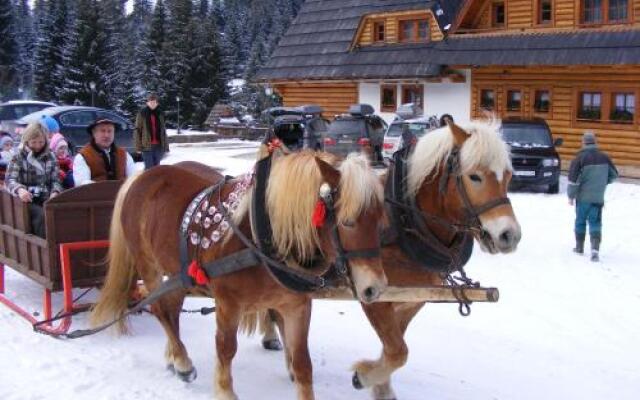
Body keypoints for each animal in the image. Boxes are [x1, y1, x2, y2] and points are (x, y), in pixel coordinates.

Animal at [90, 150, 388, 400]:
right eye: (347, 222)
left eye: (379, 220)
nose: (375, 288)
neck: (262, 235)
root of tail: (141, 177)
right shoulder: (228, 304)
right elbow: (225, 348)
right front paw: (224, 391)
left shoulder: (296, 305)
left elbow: (303, 362)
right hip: (148, 265)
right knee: (161, 310)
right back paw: (182, 362)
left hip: (179, 274)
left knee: (171, 309)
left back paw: (173, 356)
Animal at [352, 119, 524, 400]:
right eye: (474, 176)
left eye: (508, 176)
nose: (509, 235)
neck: (400, 222)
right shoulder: (374, 297)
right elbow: (398, 351)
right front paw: (365, 376)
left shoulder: (412, 298)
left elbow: (394, 347)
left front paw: (380, 385)